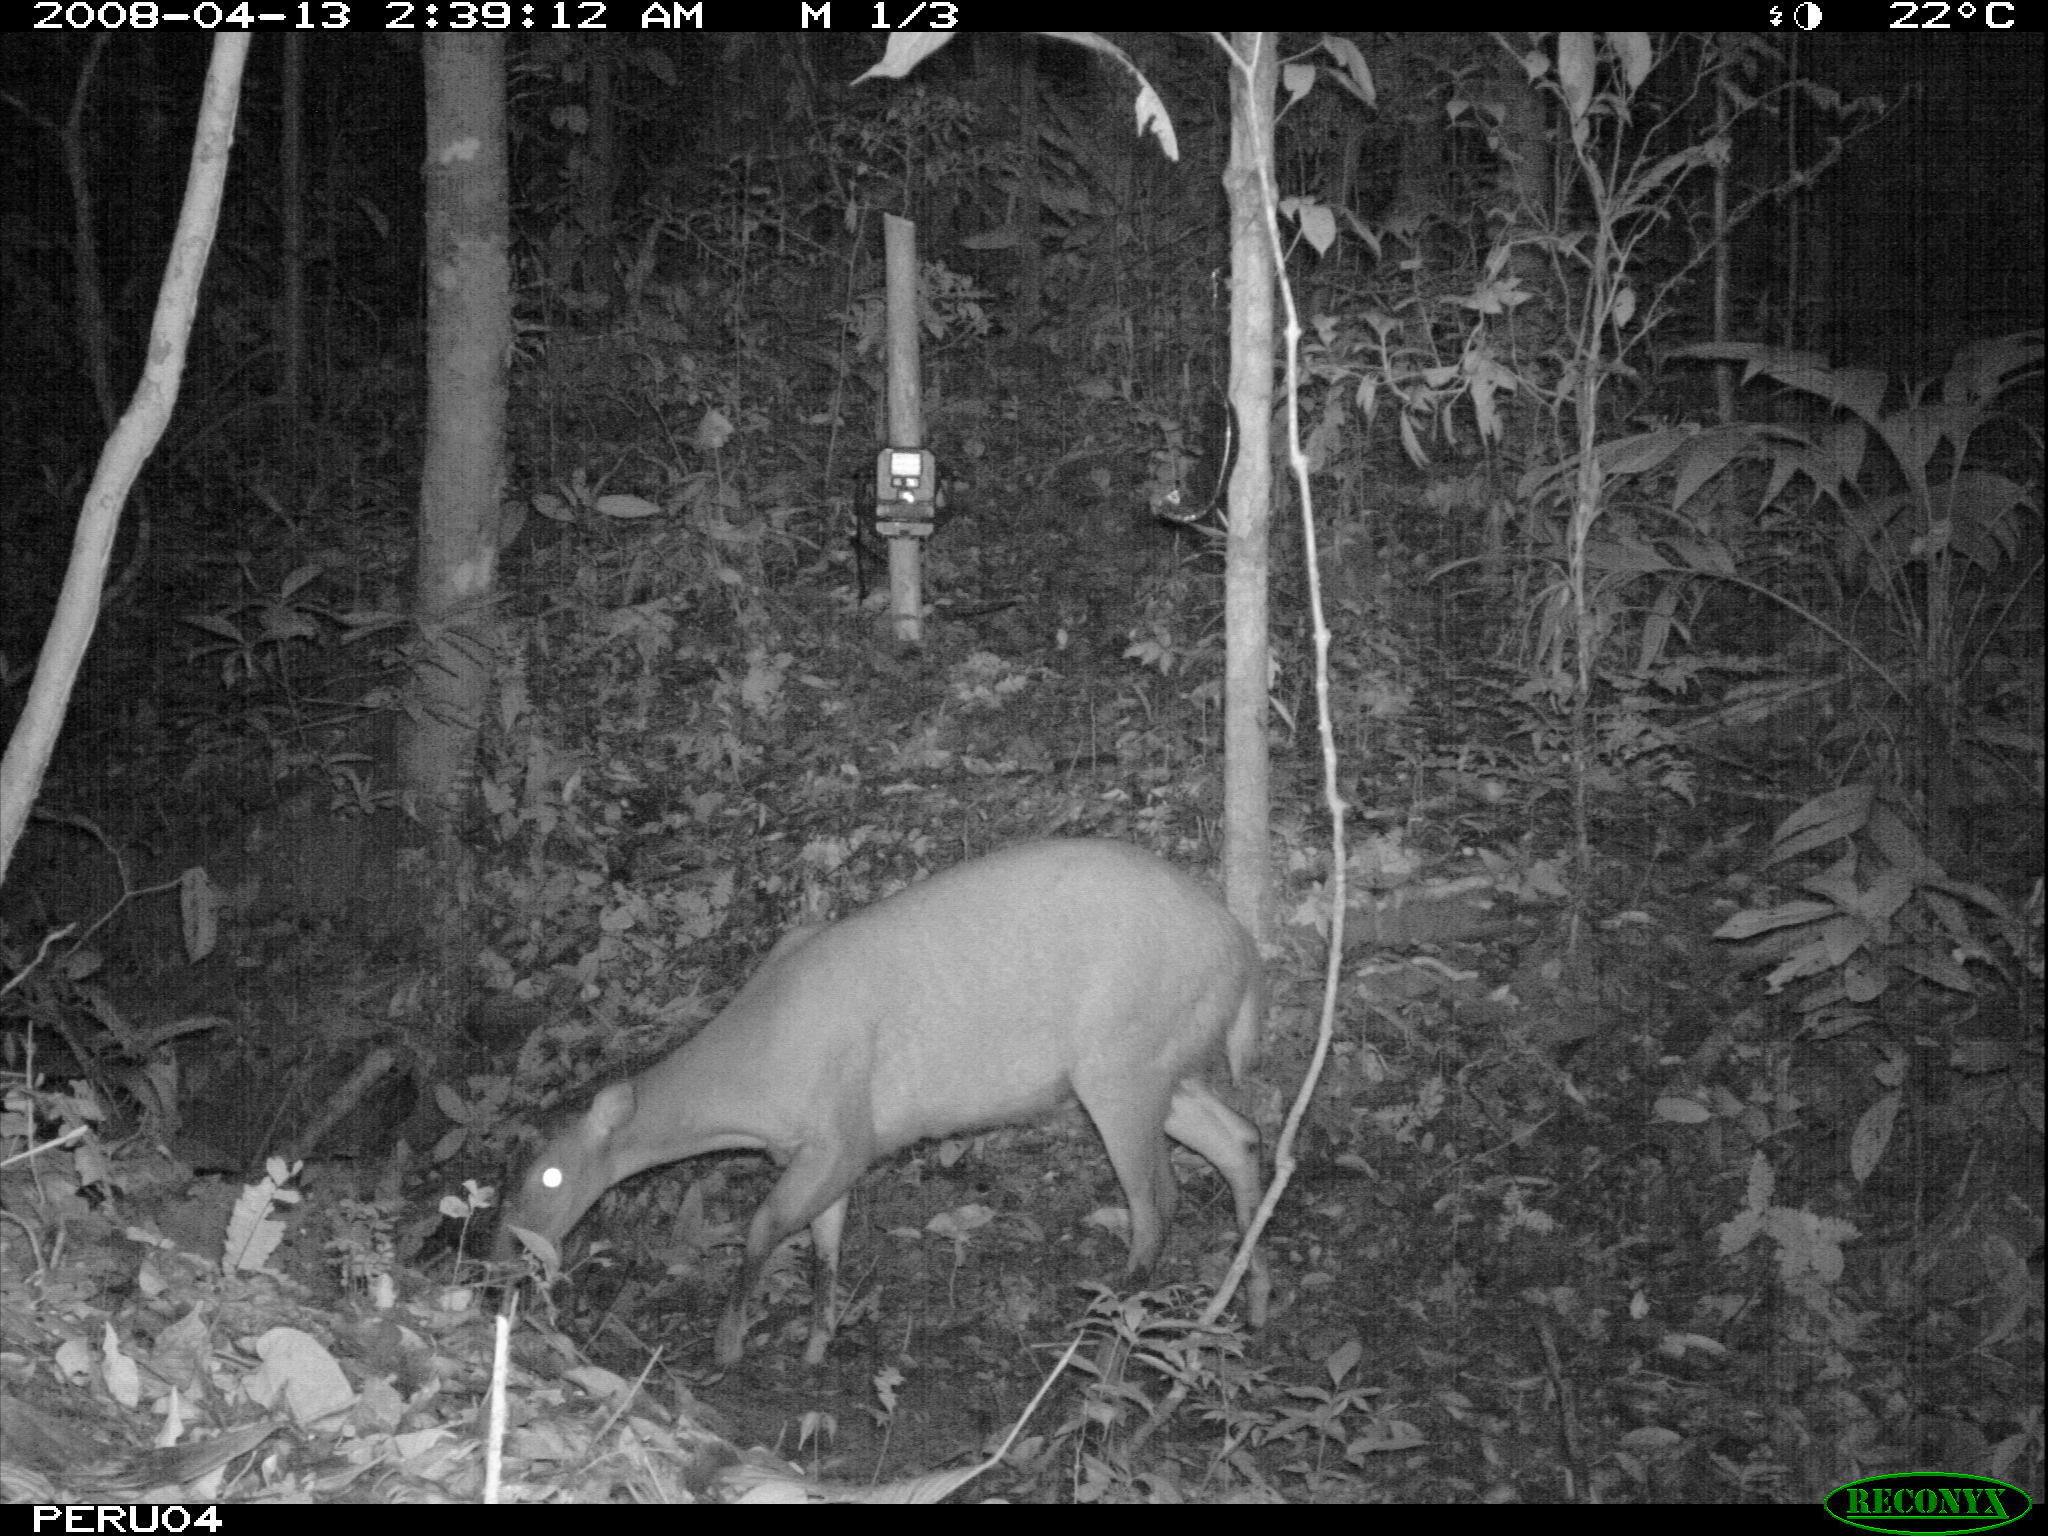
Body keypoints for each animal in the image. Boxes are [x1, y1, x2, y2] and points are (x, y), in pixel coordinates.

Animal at [495, 843, 1261, 1368]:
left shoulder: (845, 1131)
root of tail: (1242, 949)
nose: (507, 1246)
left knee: (1158, 1199)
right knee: (1241, 1137)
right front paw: (815, 1346)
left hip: (1119, 1058)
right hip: (1158, 1057)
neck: (754, 1073)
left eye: (550, 1177)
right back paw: (1246, 1304)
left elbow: (762, 1225)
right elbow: (824, 1244)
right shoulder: (825, 1146)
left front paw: (729, 1343)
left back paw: (1110, 1336)